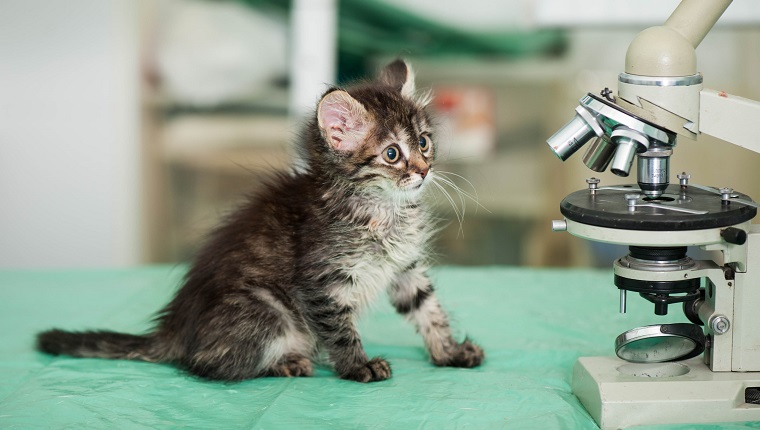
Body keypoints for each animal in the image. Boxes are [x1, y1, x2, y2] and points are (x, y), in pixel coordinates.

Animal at [37, 58, 480, 382]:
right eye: (392, 154)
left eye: (423, 142)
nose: (424, 171)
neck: (383, 210)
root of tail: (174, 332)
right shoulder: (322, 283)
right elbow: (340, 331)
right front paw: (359, 367)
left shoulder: (406, 268)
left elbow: (429, 310)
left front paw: (450, 352)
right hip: (266, 309)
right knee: (206, 366)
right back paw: (286, 363)